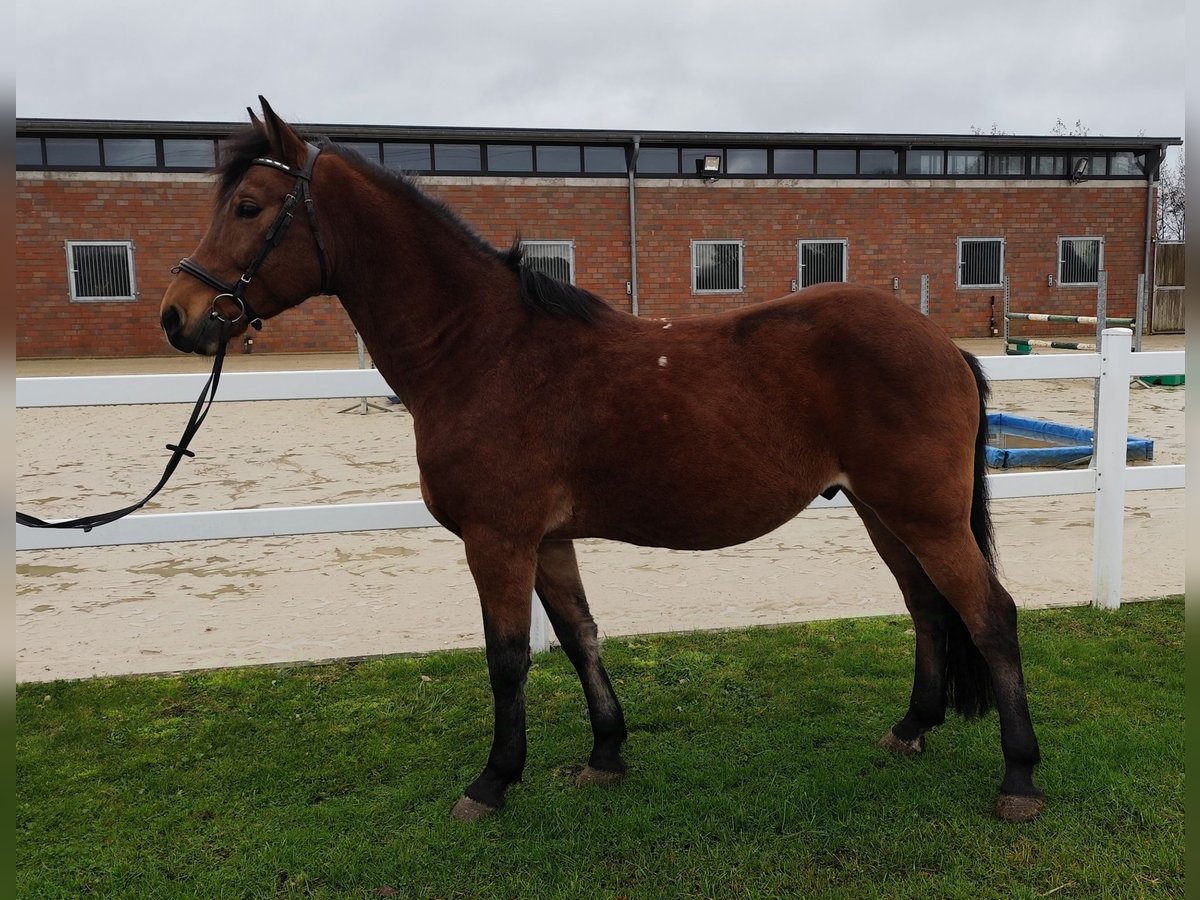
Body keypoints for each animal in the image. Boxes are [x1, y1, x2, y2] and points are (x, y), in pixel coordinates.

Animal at [157, 98, 1041, 825]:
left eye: (247, 206)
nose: (178, 314)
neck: (482, 351)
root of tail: (944, 346)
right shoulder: (548, 541)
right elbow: (580, 636)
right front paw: (606, 755)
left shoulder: (498, 541)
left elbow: (507, 658)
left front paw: (491, 782)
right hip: (882, 509)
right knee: (928, 609)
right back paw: (911, 728)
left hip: (923, 514)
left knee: (990, 616)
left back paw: (1020, 780)